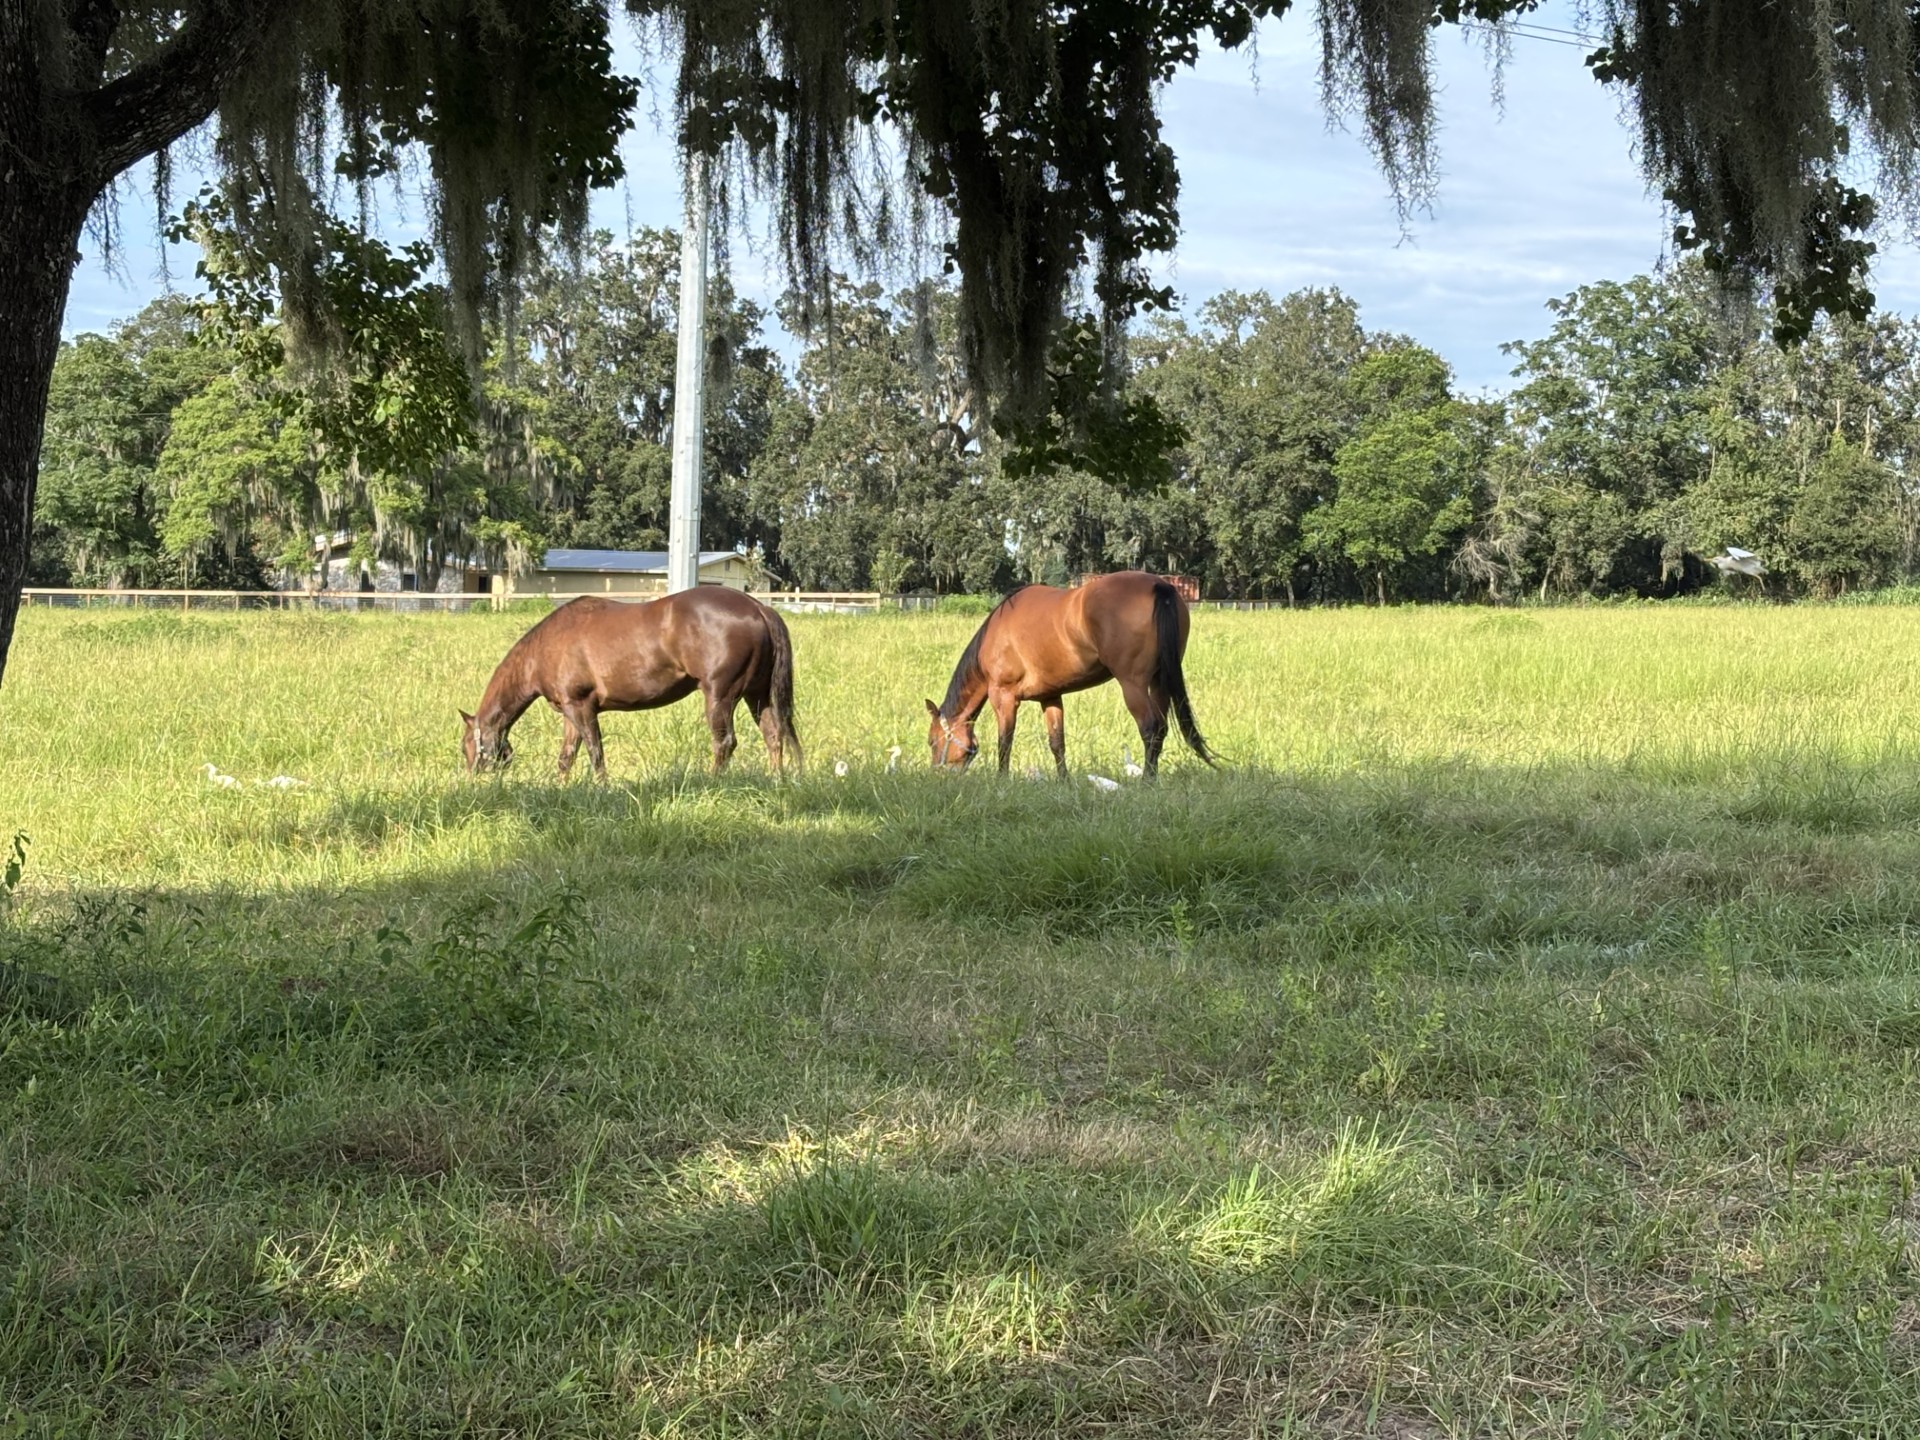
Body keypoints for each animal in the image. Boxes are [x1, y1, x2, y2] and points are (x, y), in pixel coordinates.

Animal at [461, 588, 802, 780]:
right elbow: (566, 757)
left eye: (466, 745)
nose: (471, 781)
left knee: (725, 743)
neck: (546, 646)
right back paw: (778, 780)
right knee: (774, 735)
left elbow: (595, 753)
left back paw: (713, 782)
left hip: (720, 696)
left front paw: (602, 789)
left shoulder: (582, 707)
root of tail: (758, 608)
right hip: (757, 695)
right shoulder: (571, 711)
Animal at [923, 571, 1218, 777]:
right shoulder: (1050, 697)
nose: (938, 774)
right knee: (1161, 729)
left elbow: (1004, 742)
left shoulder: (1004, 697)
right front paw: (1064, 781)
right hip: (1160, 682)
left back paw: (1146, 781)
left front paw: (1001, 781)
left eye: (932, 741)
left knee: (1150, 728)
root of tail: (1160, 586)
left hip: (1132, 684)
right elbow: (1057, 742)